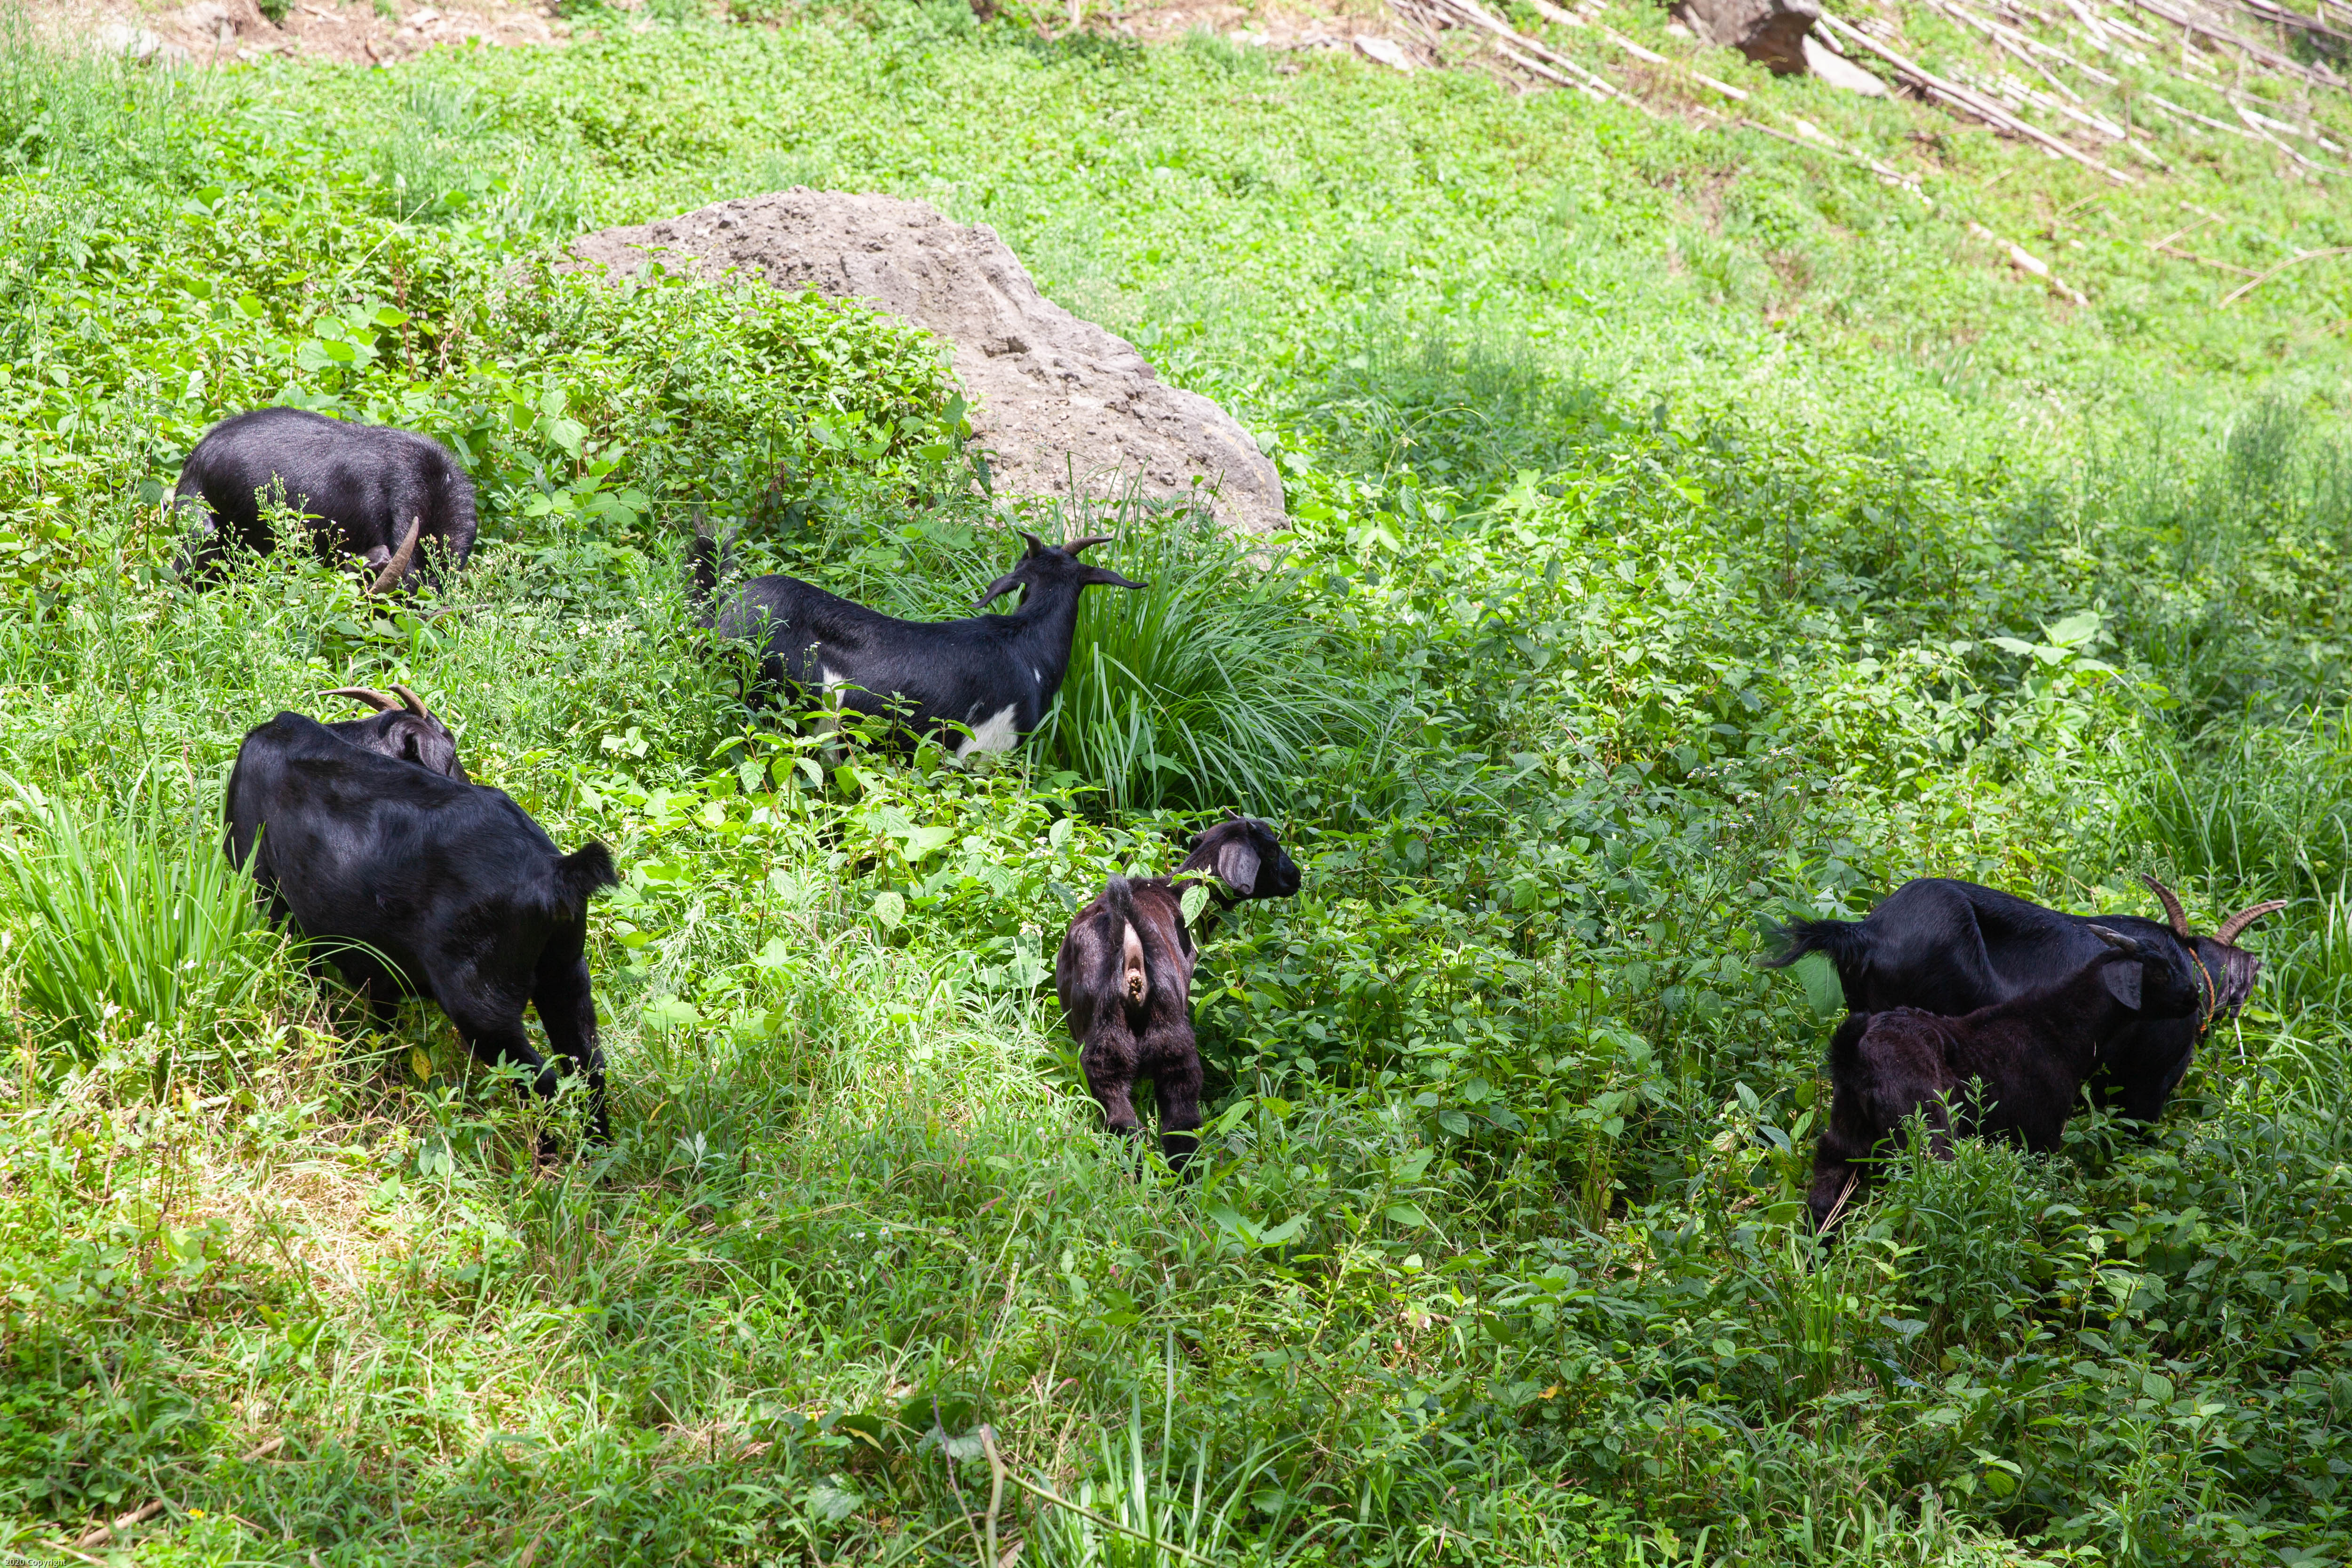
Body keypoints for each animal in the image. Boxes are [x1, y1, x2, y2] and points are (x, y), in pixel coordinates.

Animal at [224, 713, 617, 1145]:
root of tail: (556, 873)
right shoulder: (378, 966)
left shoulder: (274, 899)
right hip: (567, 974)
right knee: (589, 1063)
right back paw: (598, 1151)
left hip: (483, 1007)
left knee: (539, 1080)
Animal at [1055, 817, 1301, 1170]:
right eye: (1270, 848)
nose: (1296, 877)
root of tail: (1129, 937)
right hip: (1170, 1035)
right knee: (1178, 1115)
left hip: (1110, 1040)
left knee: (1125, 1118)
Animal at [1807, 925, 2203, 1231]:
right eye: (2160, 970)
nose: (2194, 996)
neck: (2058, 1029)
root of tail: (1853, 1056)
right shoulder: (2040, 1135)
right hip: (1928, 1135)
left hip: (1845, 1138)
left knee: (1824, 1195)